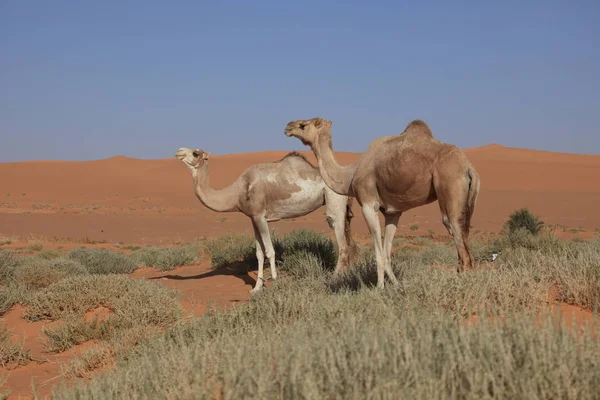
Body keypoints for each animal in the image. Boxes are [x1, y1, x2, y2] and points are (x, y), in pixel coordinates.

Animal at [176, 147, 358, 294]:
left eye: (195, 153)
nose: (179, 151)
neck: (238, 192)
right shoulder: (253, 218)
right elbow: (259, 253)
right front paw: (256, 288)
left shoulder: (260, 217)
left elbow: (270, 251)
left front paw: (275, 283)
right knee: (350, 243)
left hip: (334, 198)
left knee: (341, 242)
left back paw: (333, 279)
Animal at [284, 117, 480, 290]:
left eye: (303, 125)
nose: (288, 126)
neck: (350, 176)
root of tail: (469, 168)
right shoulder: (393, 212)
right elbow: (387, 252)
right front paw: (396, 285)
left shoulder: (368, 204)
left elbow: (378, 252)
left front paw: (379, 287)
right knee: (465, 240)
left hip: (449, 185)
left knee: (455, 231)